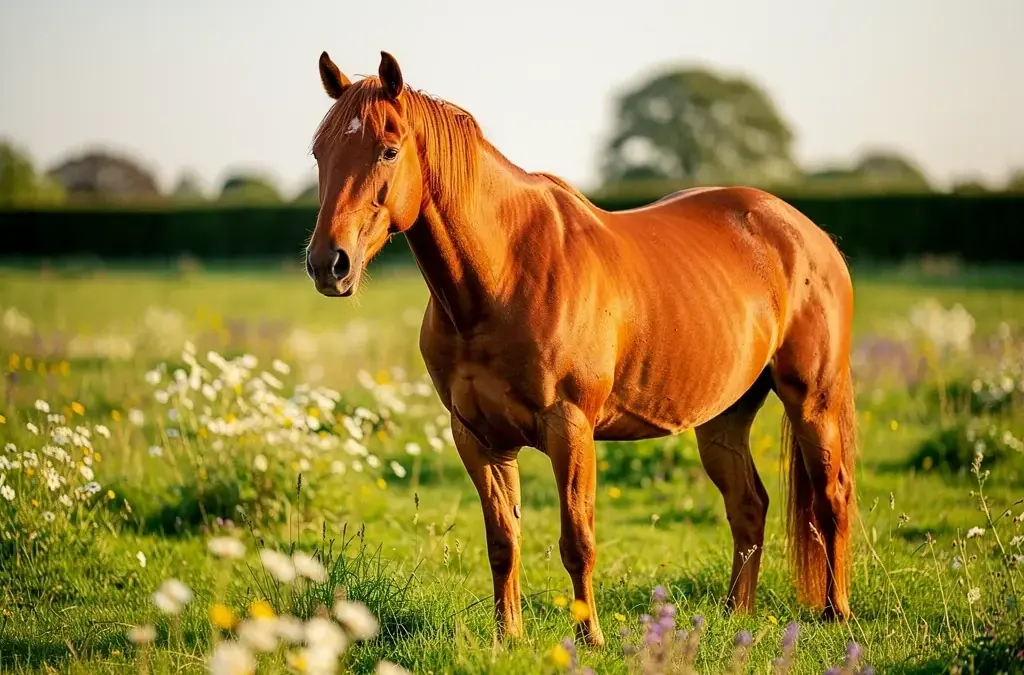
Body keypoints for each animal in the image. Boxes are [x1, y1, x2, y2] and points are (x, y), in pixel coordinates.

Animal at [305, 50, 858, 647]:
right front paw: (509, 637)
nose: (328, 264)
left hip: (812, 401)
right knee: (748, 505)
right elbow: (503, 541)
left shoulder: (569, 428)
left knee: (831, 498)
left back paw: (836, 614)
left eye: (388, 149)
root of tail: (806, 233)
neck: (503, 275)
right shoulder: (477, 437)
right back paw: (737, 616)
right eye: (319, 152)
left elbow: (578, 541)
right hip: (724, 416)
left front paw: (589, 637)